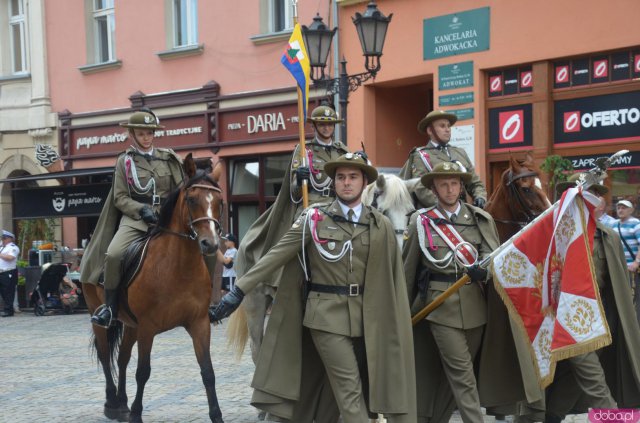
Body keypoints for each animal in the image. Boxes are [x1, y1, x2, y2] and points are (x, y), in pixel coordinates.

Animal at [82, 155, 225, 423]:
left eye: (219, 202)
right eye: (192, 199)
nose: (210, 244)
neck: (178, 268)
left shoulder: (199, 323)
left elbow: (208, 372)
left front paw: (217, 415)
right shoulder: (148, 327)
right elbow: (143, 371)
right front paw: (137, 414)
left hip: (130, 324)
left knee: (122, 358)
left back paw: (122, 404)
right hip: (100, 316)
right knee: (106, 357)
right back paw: (111, 403)